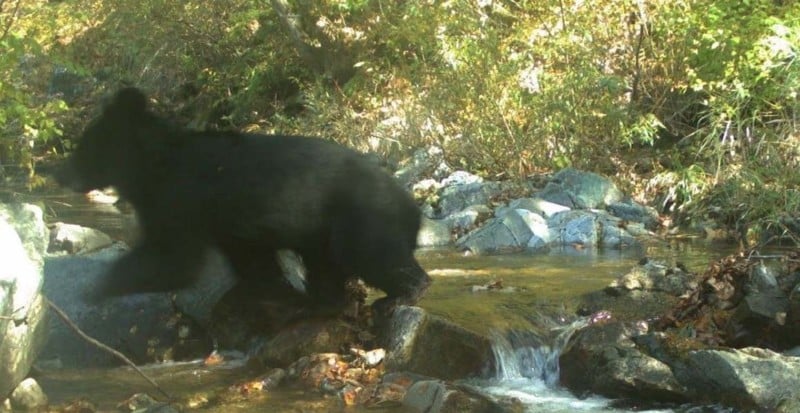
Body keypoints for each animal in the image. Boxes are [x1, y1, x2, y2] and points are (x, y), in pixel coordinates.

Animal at [60, 87, 432, 312]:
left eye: (83, 148)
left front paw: (95, 288)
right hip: (324, 234)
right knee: (330, 266)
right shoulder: (230, 226)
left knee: (374, 255)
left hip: (362, 219)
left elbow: (173, 258)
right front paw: (263, 288)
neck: (151, 167)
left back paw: (402, 294)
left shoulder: (180, 198)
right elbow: (250, 258)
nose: (60, 173)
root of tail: (413, 207)